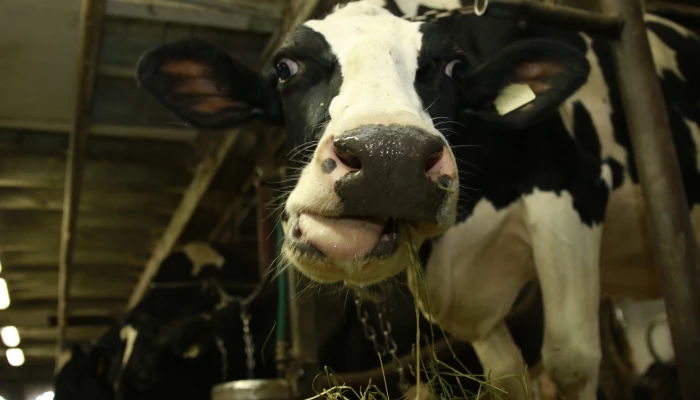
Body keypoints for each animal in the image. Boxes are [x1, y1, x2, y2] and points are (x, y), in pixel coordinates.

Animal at [135, 2, 700, 397]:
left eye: (454, 67)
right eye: (285, 67)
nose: (390, 158)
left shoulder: (573, 189)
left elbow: (571, 361)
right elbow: (507, 377)